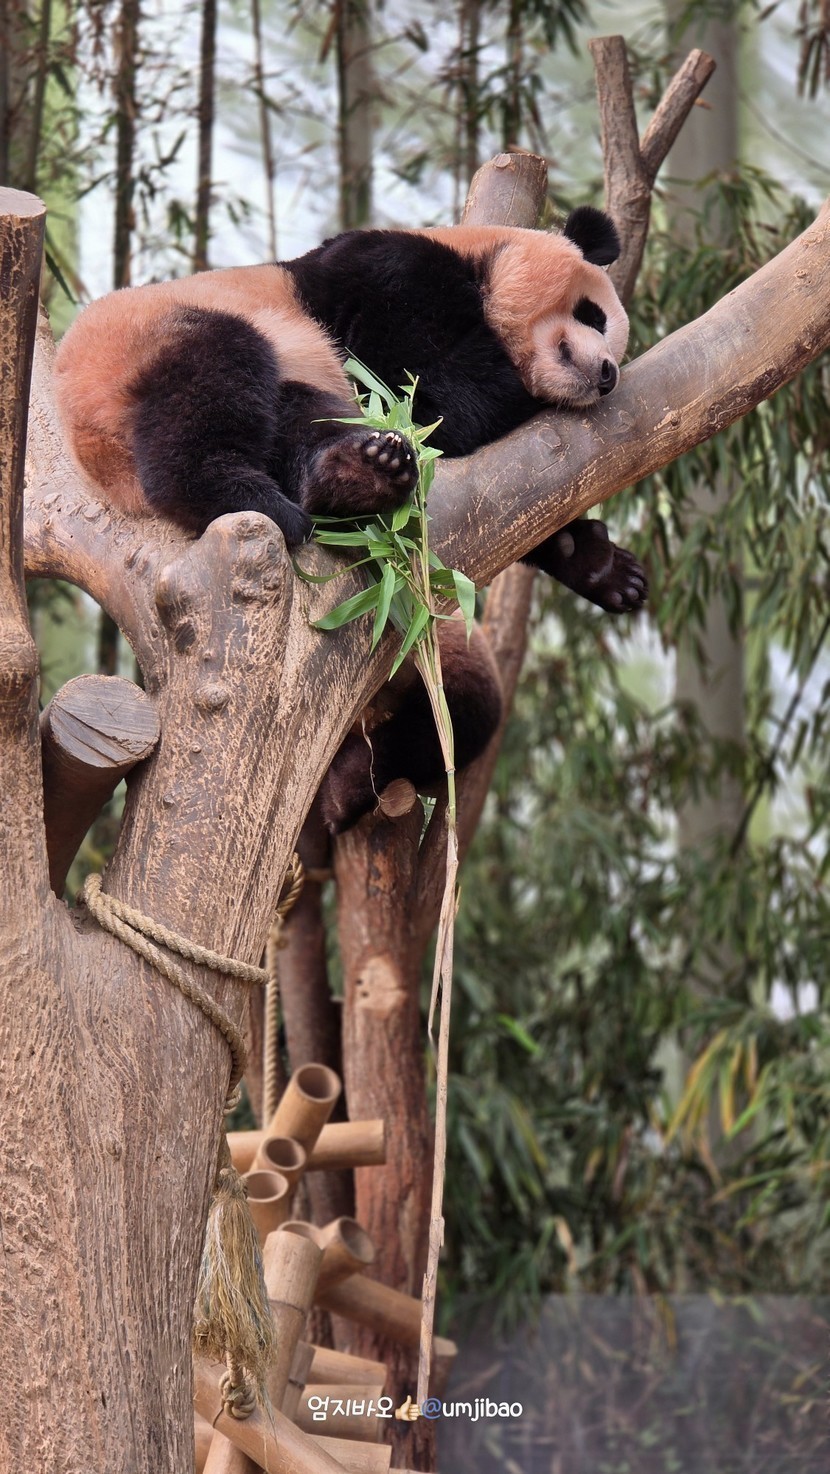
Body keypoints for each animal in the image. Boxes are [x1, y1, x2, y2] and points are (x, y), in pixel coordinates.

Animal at [54, 205, 647, 833]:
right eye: (592, 313)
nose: (607, 372)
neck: (476, 256)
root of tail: (92, 443)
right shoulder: (391, 278)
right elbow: (438, 392)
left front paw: (601, 566)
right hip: (152, 339)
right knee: (214, 379)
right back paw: (260, 497)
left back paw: (354, 476)